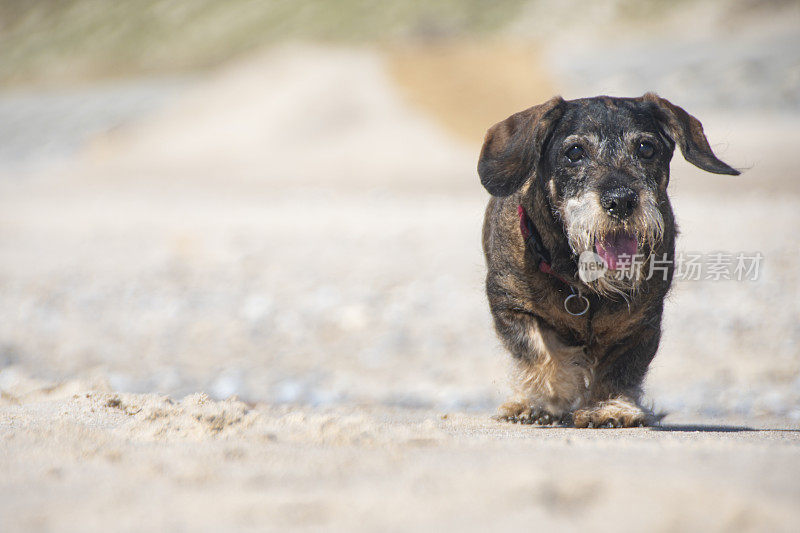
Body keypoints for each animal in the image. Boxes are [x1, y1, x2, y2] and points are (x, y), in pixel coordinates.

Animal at [478, 93, 740, 426]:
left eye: (646, 148)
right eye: (575, 152)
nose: (622, 201)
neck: (583, 284)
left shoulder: (641, 323)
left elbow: (621, 368)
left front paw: (611, 408)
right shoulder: (511, 306)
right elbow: (539, 352)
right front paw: (547, 399)